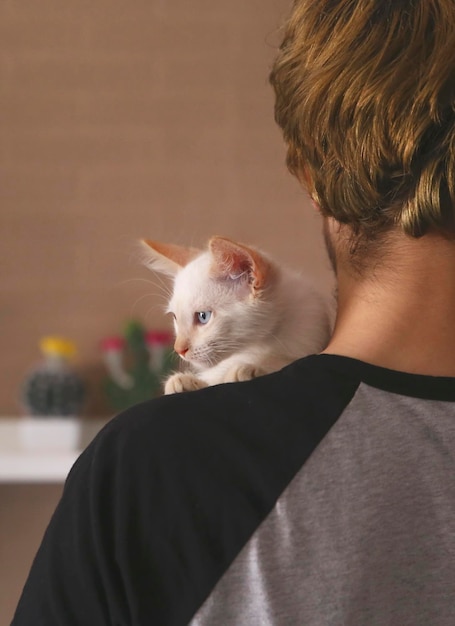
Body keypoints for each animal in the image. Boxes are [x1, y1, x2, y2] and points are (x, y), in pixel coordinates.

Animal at [142, 236, 334, 392]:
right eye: (175, 317)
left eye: (203, 316)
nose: (179, 349)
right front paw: (185, 381)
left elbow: (285, 361)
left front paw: (251, 369)